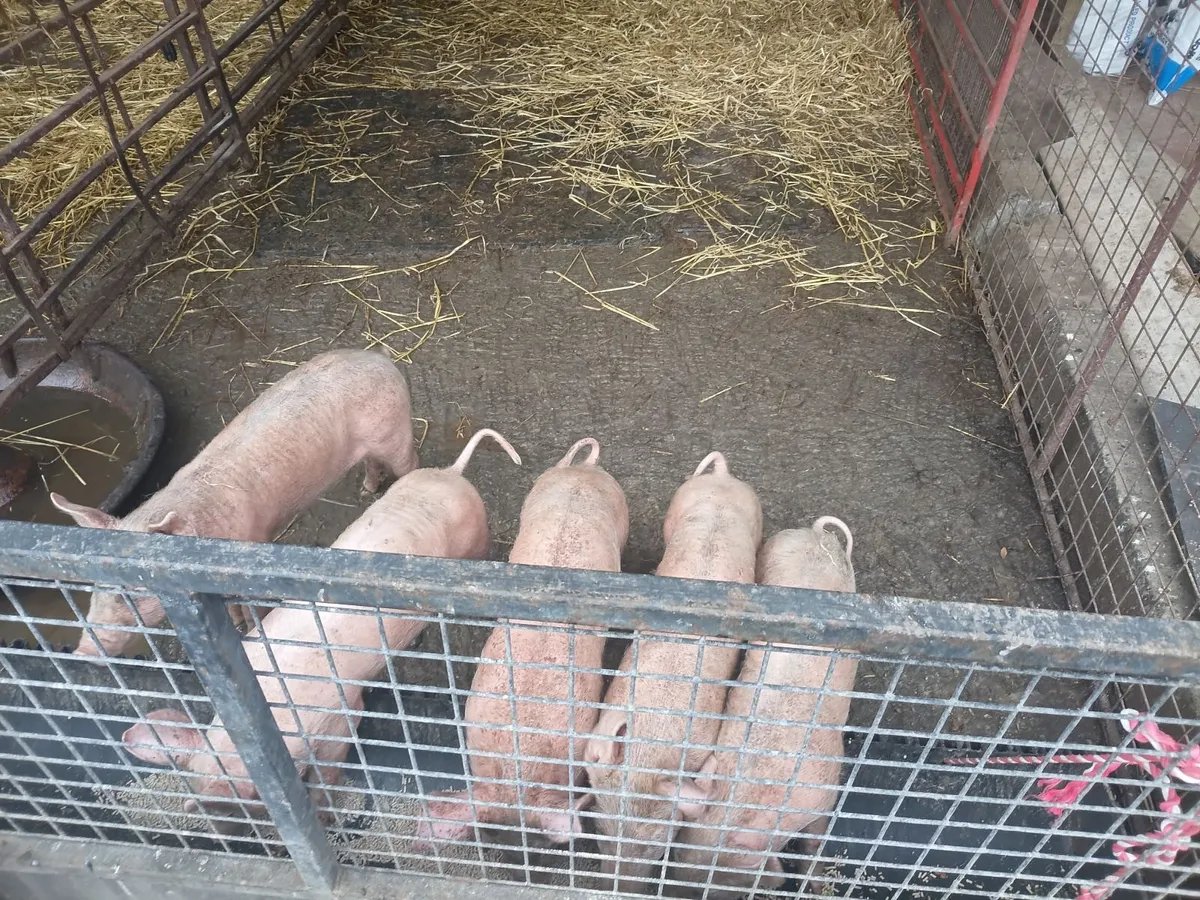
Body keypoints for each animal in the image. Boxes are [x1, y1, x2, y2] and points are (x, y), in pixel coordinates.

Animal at [50, 349, 419, 658]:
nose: (82, 651)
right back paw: (368, 491)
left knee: (409, 463)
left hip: (394, 431)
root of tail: (380, 358)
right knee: (372, 463)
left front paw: (252, 629)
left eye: (131, 590)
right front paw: (238, 624)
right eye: (96, 586)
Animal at [120, 428, 520, 823]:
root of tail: (452, 473)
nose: (202, 811)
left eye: (240, 810)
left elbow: (330, 766)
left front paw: (327, 815)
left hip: (477, 539)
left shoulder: (339, 719)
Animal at [669, 516, 857, 899]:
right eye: (679, 853)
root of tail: (817, 535)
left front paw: (815, 884)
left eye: (726, 889)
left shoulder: (826, 791)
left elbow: (815, 841)